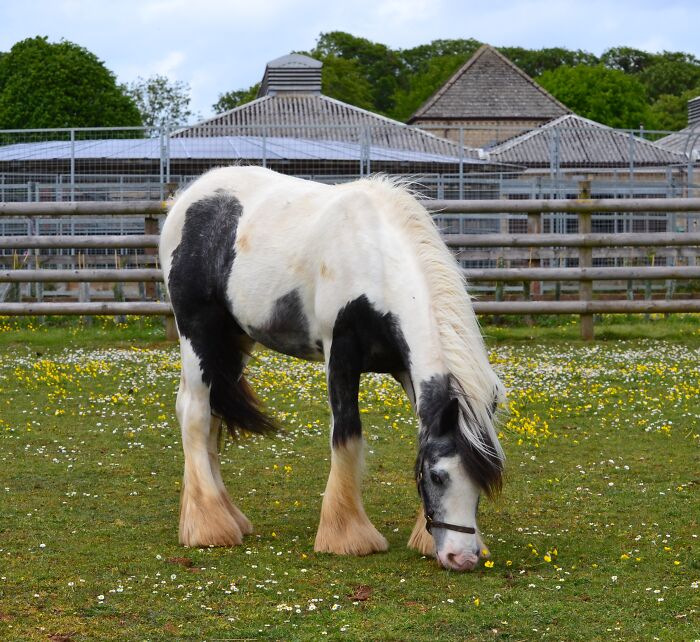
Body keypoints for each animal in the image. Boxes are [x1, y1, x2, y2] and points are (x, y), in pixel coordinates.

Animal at [159, 166, 505, 572]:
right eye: (437, 476)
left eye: (483, 480)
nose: (461, 557)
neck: (374, 257)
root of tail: (188, 197)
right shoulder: (340, 354)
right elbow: (346, 432)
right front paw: (347, 535)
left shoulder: (404, 367)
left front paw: (421, 537)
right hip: (197, 332)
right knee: (195, 414)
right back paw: (209, 526)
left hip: (233, 341)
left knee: (211, 413)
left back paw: (229, 517)